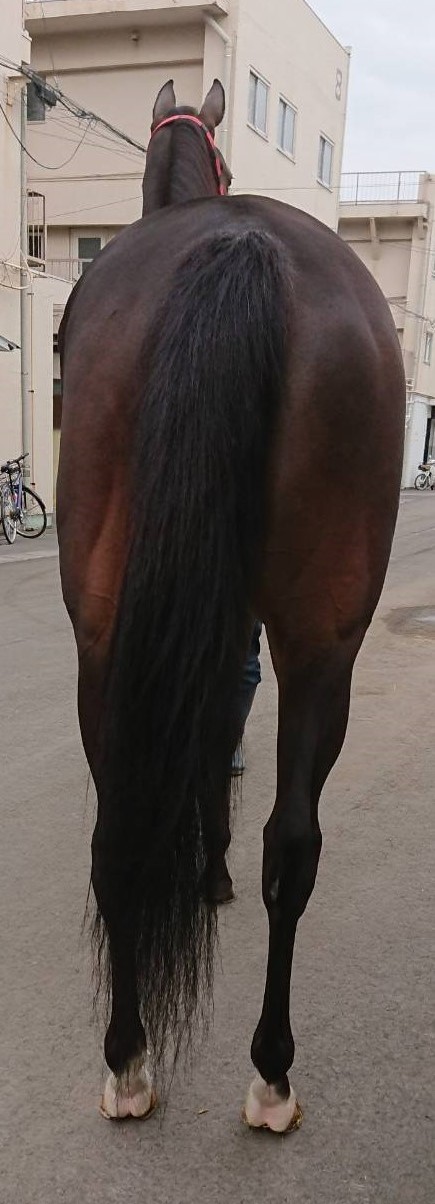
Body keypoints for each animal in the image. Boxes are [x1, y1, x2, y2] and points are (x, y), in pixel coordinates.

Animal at [57, 78, 405, 1132]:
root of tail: (241, 245)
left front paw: (204, 874)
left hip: (104, 638)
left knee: (123, 831)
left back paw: (136, 1056)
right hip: (322, 638)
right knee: (289, 842)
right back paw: (266, 1070)